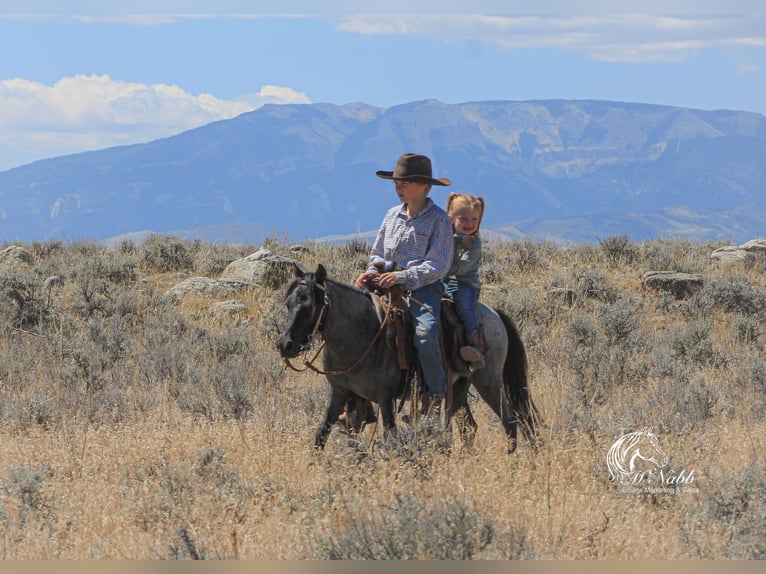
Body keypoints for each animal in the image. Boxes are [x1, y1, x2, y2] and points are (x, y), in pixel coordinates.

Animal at [278, 264, 540, 452]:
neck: (360, 333)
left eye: (309, 307)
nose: (285, 345)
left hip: (489, 381)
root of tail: (495, 314)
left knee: (510, 420)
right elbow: (321, 434)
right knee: (469, 427)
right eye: (288, 303)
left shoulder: (385, 397)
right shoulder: (340, 393)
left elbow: (390, 436)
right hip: (459, 386)